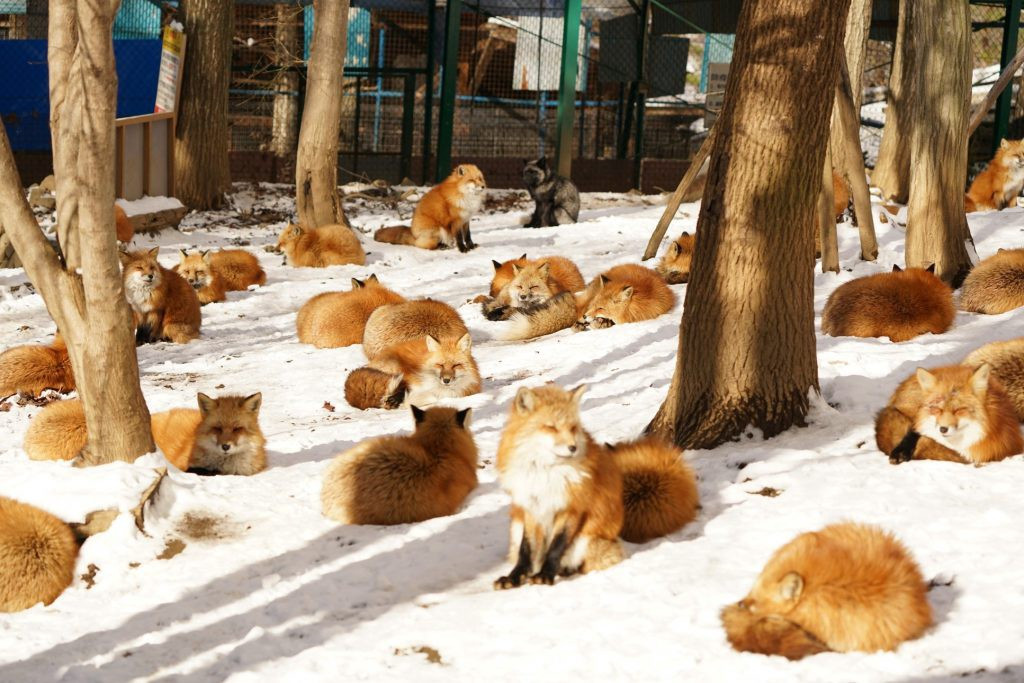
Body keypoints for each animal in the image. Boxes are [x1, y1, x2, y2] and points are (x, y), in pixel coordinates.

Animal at [494, 385, 698, 588]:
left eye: (573, 428)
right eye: (551, 427)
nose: (573, 448)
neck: (546, 472)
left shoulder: (571, 508)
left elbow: (556, 546)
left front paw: (546, 574)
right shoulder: (531, 507)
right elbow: (526, 550)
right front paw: (515, 576)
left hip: (586, 539)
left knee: (590, 562)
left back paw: (564, 570)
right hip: (516, 526)